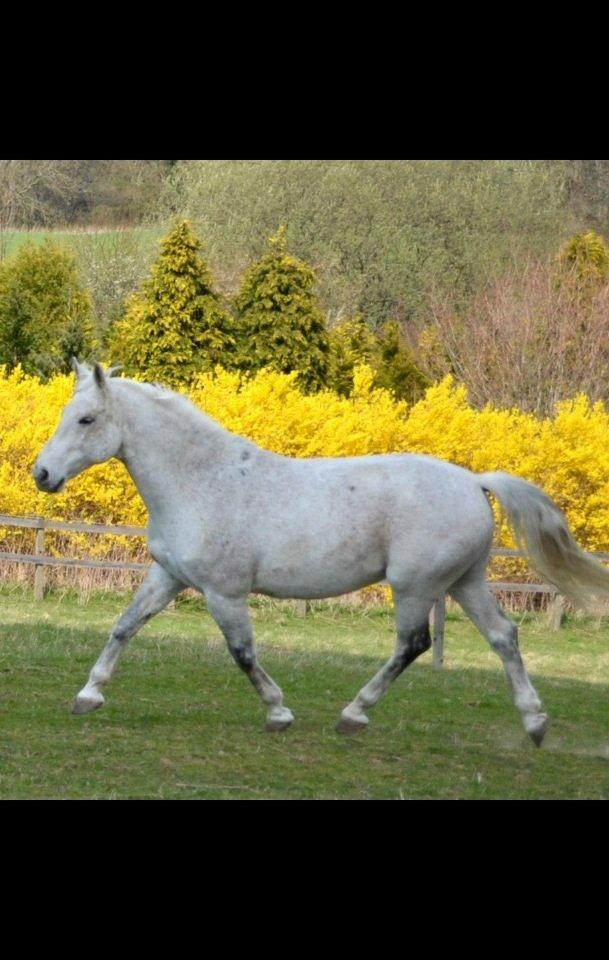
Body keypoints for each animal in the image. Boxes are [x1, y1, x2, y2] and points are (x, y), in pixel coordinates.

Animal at [34, 360, 609, 744]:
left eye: (86, 419)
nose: (41, 474)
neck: (200, 480)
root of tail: (473, 481)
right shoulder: (168, 576)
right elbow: (124, 627)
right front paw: (88, 696)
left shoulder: (224, 592)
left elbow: (243, 652)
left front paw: (278, 713)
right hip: (464, 582)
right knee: (503, 637)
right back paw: (534, 723)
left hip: (416, 586)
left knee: (413, 644)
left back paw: (354, 714)